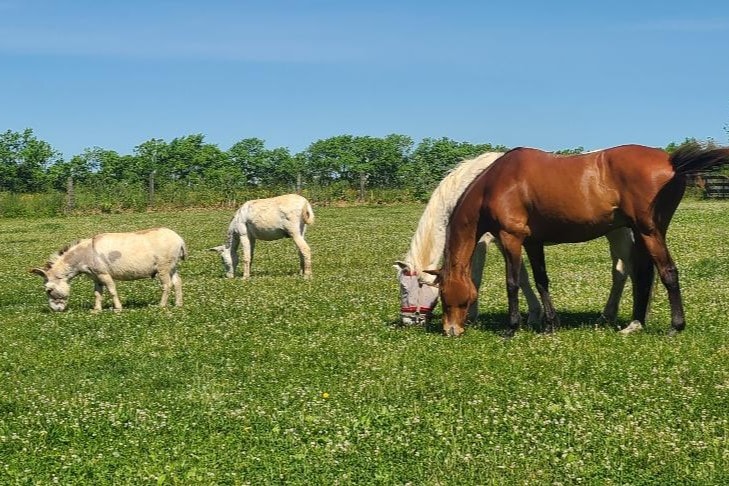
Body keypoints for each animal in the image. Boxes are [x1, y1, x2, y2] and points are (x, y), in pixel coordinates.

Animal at [432, 142, 728, 336]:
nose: (450, 330)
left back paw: (675, 327)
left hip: (649, 231)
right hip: (642, 233)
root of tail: (671, 161)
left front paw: (512, 328)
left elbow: (512, 283)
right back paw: (635, 324)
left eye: (444, 296)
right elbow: (541, 280)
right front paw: (551, 324)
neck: (496, 183)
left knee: (667, 272)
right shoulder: (533, 242)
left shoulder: (510, 238)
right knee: (643, 275)